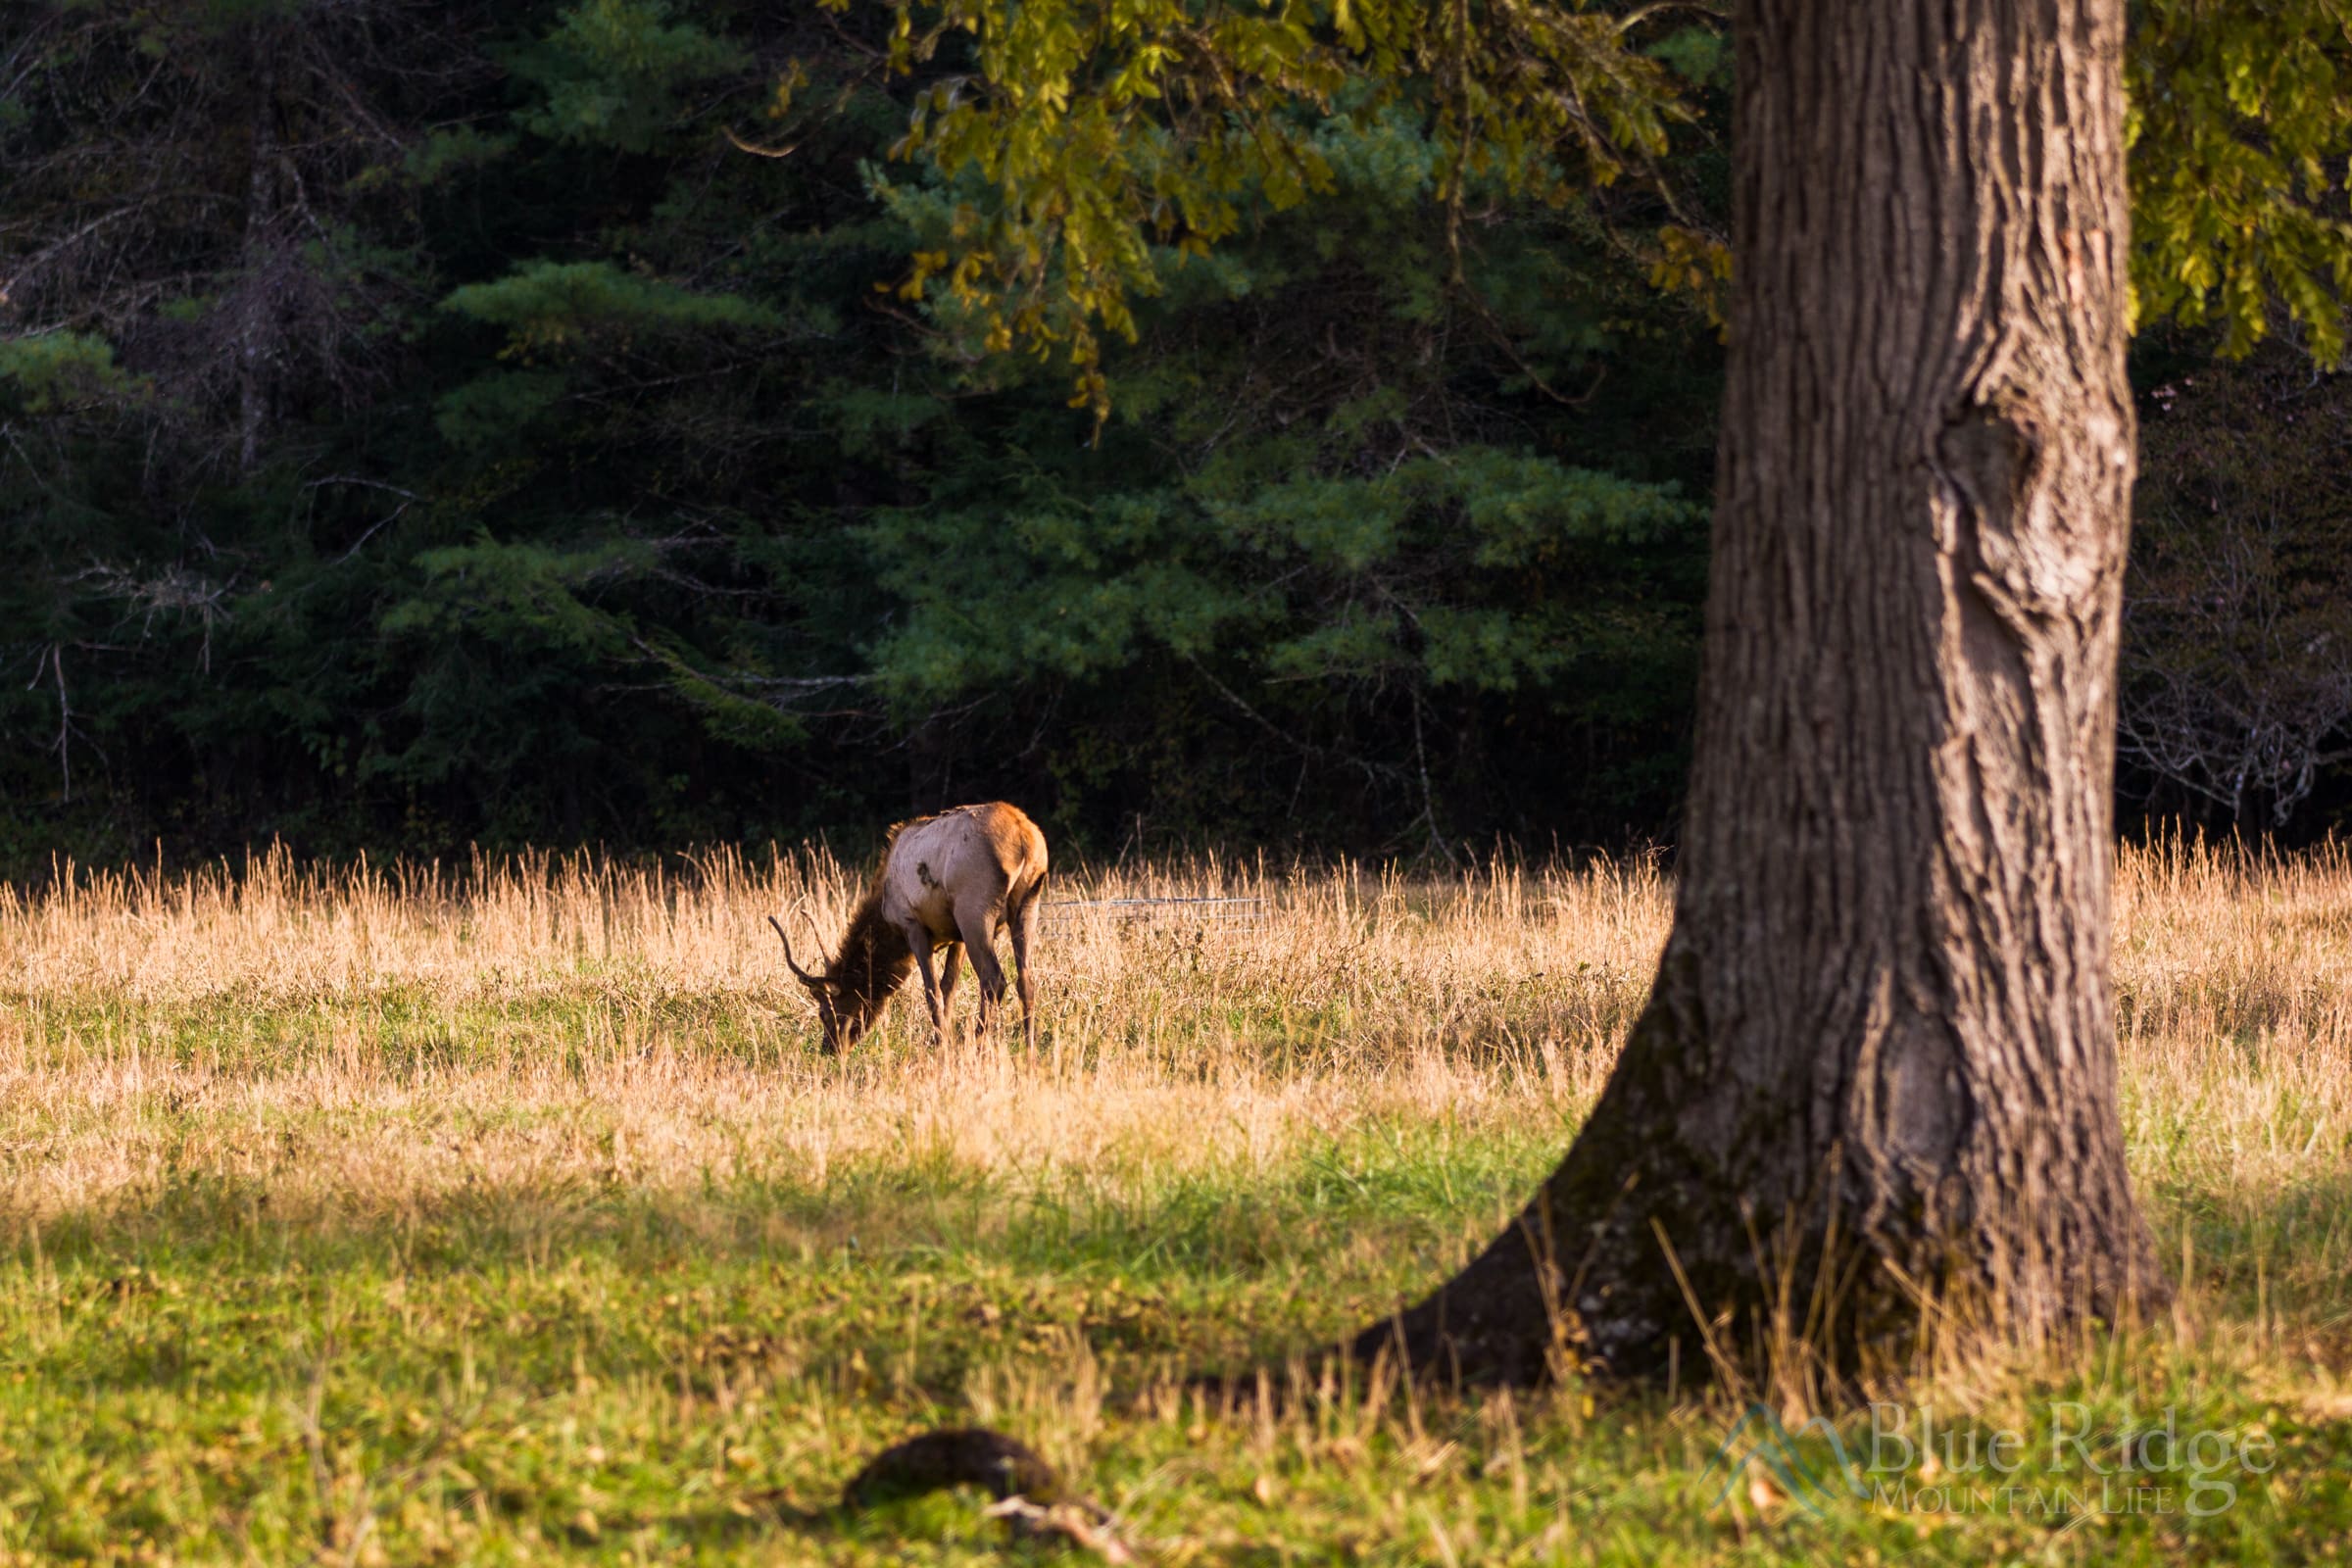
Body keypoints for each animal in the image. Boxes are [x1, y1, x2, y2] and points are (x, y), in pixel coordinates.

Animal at [770, 801, 1049, 1052]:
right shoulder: (955, 936)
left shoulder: (913, 925)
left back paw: (976, 1045)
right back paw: (1029, 1047)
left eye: (823, 1012)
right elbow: (949, 989)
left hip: (974, 909)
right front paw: (941, 1039)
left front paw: (942, 1046)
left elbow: (933, 992)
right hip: (1028, 903)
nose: (829, 1048)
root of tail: (1026, 840)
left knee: (994, 979)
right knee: (1026, 980)